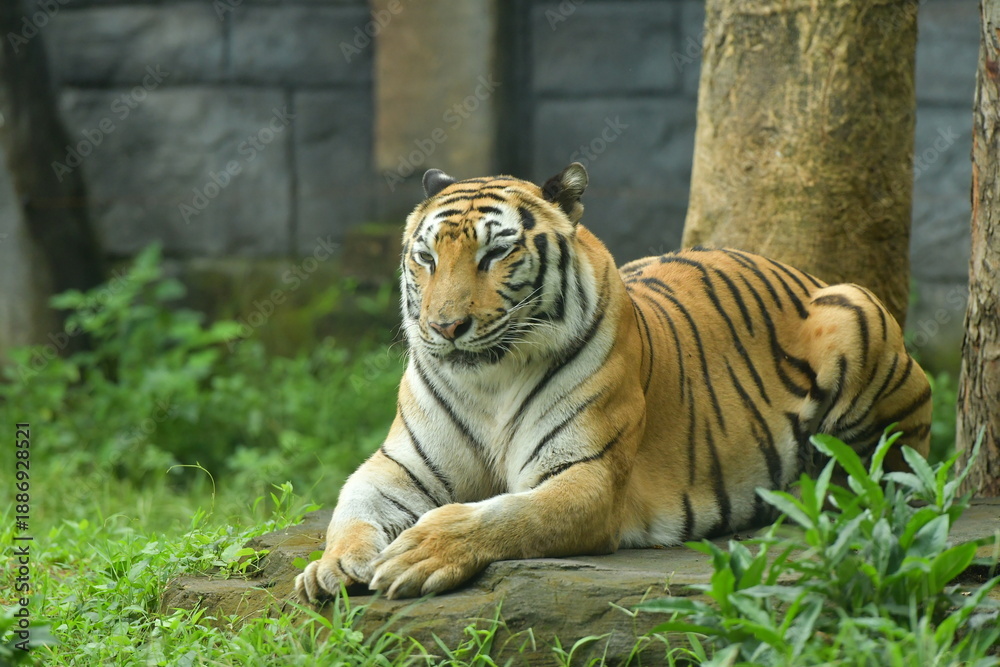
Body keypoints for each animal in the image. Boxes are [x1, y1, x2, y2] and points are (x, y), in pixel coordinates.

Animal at [295, 162, 932, 602]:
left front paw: (422, 553)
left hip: (857, 314)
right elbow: (351, 506)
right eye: (425, 258)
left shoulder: (589, 474)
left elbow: (509, 515)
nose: (444, 328)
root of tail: (800, 271)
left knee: (893, 474)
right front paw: (331, 567)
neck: (489, 382)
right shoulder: (399, 466)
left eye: (494, 254)